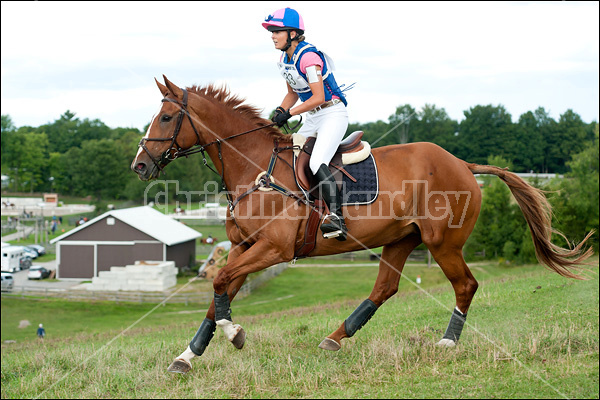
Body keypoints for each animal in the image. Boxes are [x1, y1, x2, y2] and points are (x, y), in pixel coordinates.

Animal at [129, 76, 592, 374]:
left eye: (166, 118)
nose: (140, 166)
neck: (253, 167)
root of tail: (462, 163)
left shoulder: (272, 250)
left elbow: (221, 284)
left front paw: (235, 334)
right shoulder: (245, 248)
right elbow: (218, 292)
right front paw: (188, 356)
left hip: (442, 244)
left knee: (465, 285)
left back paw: (447, 342)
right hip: (401, 238)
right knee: (385, 288)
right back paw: (336, 337)